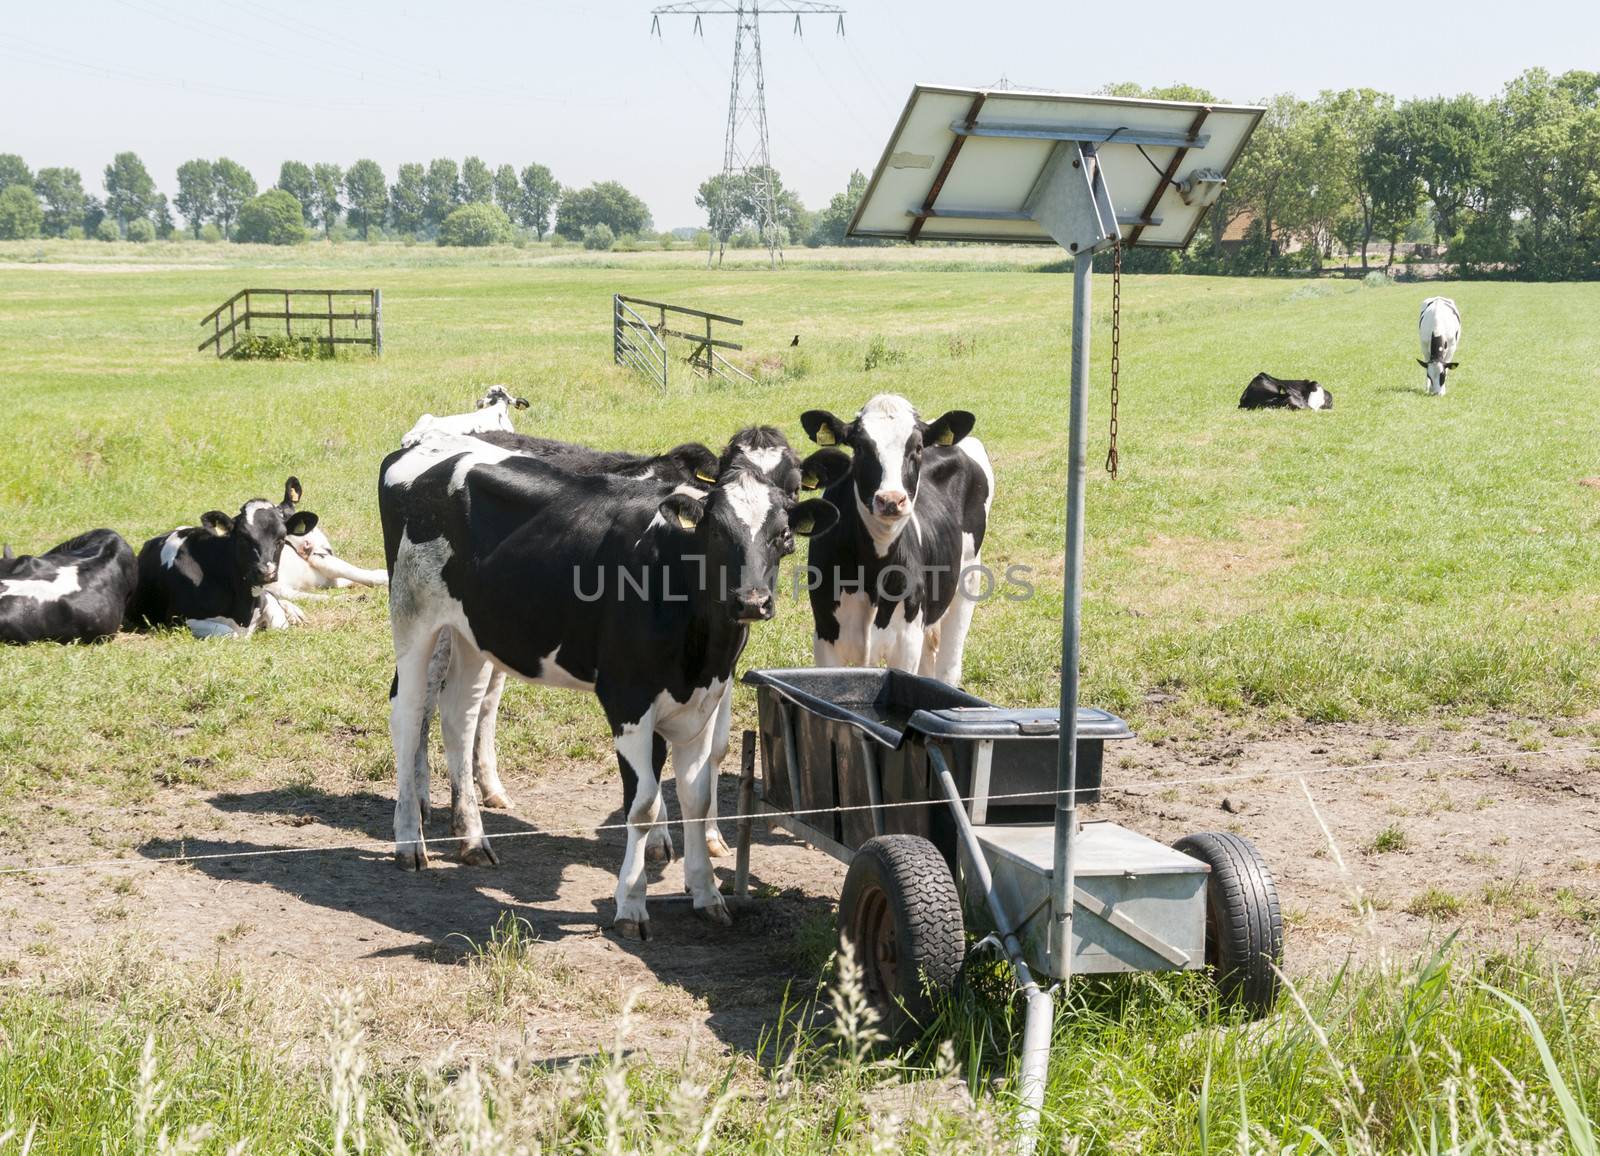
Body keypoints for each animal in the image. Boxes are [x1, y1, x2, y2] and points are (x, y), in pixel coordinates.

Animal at [132, 477, 320, 640]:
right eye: (243, 538)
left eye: (281, 539)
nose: (266, 572)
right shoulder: (178, 618)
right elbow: (231, 633)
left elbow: (279, 623)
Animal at [382, 429, 844, 935]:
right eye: (717, 532)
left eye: (783, 534)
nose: (751, 601)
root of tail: (424, 447)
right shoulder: (628, 701)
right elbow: (641, 807)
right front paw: (632, 905)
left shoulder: (702, 704)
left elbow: (696, 797)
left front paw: (707, 894)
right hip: (413, 619)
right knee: (408, 715)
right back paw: (409, 842)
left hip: (473, 631)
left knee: (459, 718)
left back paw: (472, 839)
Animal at [806, 393, 992, 685]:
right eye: (860, 447)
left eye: (917, 447)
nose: (891, 499)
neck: (872, 571)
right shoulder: (825, 635)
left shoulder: (906, 641)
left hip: (968, 580)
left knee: (948, 667)